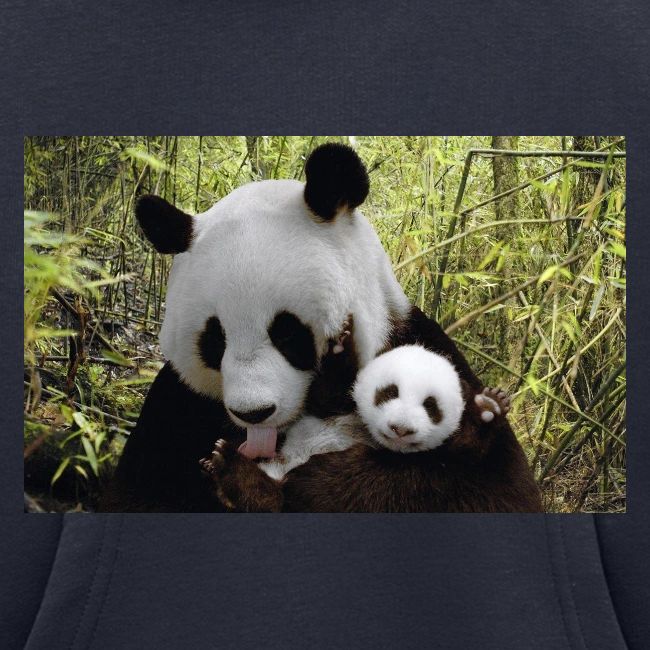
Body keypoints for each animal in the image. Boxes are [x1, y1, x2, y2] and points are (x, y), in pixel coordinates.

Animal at [99, 143, 541, 513]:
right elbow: (139, 494)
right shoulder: (178, 406)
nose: (254, 413)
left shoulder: (421, 347)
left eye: (287, 333)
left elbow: (488, 489)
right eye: (215, 340)